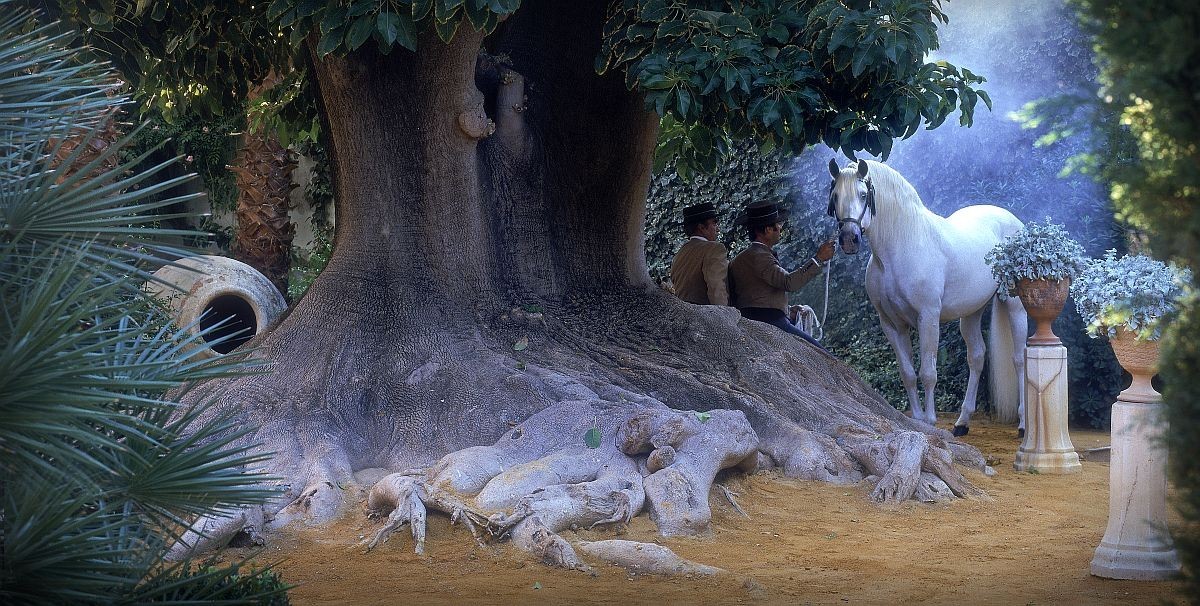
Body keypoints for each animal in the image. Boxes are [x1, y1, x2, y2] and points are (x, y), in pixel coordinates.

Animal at [826, 159, 1028, 436]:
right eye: (835, 196)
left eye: (864, 194)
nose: (848, 239)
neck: (901, 248)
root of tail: (1012, 221)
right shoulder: (892, 324)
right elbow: (908, 374)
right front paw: (918, 420)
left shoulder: (928, 317)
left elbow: (928, 373)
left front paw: (931, 421)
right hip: (971, 311)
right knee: (977, 357)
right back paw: (962, 423)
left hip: (1015, 305)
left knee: (1019, 359)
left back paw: (1023, 425)